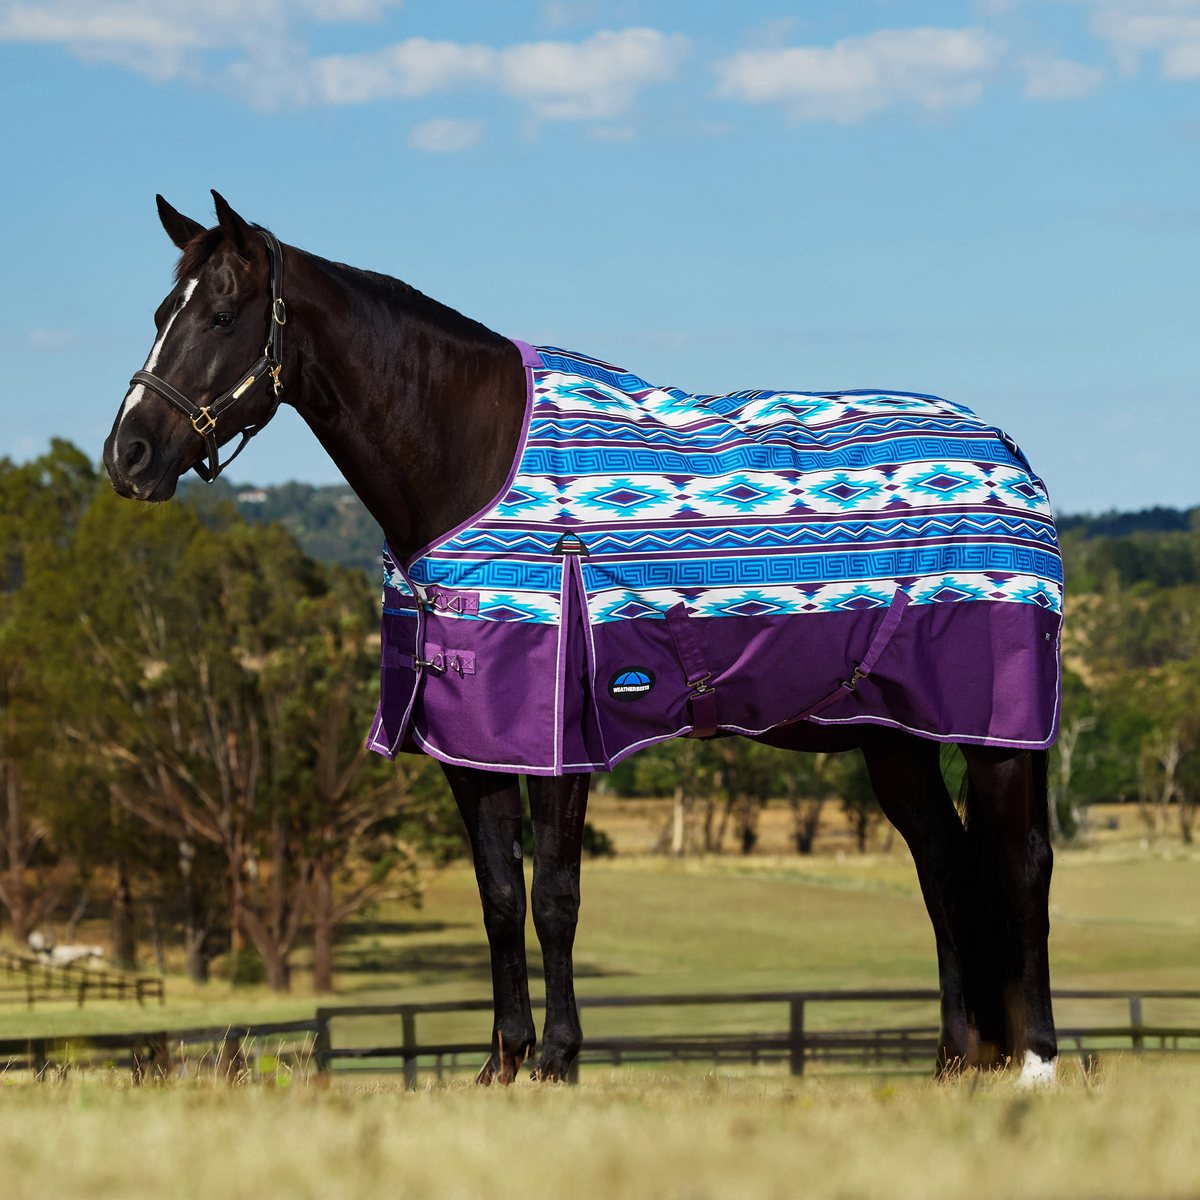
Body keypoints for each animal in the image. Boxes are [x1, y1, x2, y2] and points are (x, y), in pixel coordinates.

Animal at [103, 192, 1061, 1086]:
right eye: (158, 314)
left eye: (222, 314)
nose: (129, 456)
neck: (472, 457)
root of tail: (1010, 455)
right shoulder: (473, 746)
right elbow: (498, 898)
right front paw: (502, 1061)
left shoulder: (562, 742)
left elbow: (555, 896)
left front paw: (560, 1058)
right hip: (895, 738)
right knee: (945, 867)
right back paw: (958, 1058)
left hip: (1001, 735)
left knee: (1022, 865)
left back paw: (1035, 1060)